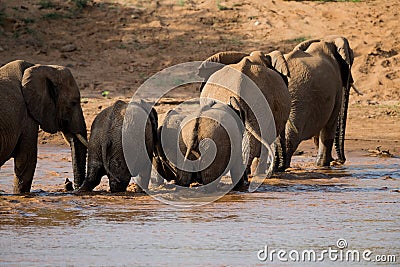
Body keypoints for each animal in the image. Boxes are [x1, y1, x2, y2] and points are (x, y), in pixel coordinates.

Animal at [282, 35, 354, 170]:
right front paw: (323, 165)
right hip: (297, 101)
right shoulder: (336, 87)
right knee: (291, 138)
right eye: (352, 59)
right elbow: (330, 125)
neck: (326, 40)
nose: (339, 160)